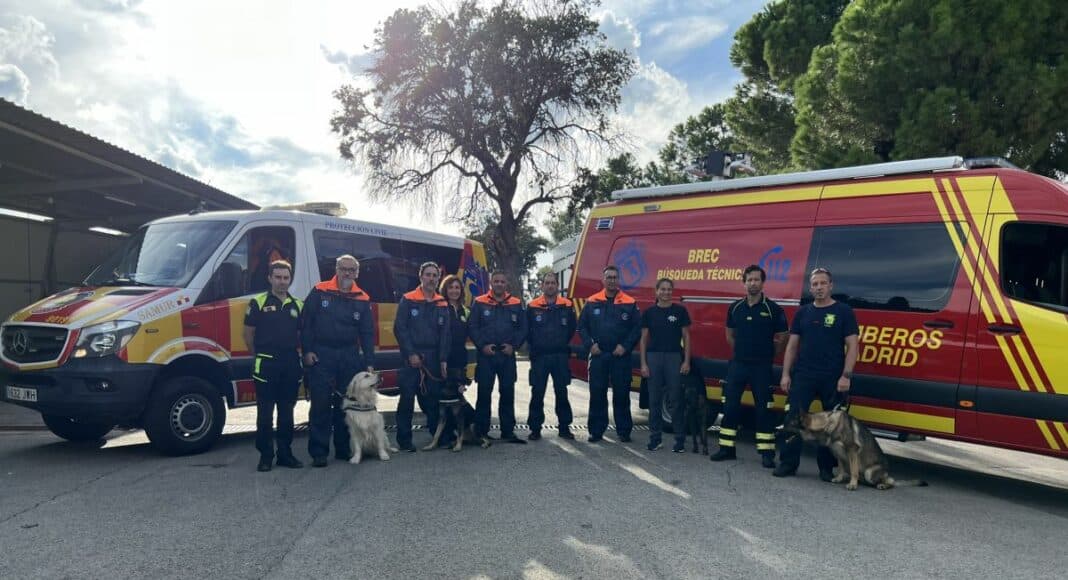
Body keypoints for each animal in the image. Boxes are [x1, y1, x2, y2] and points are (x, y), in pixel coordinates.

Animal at [786, 410, 927, 493]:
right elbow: (841, 468)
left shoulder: (852, 450)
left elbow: (854, 471)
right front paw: (839, 478)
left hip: (870, 473)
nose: (780, 428)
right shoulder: (838, 452)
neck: (827, 424)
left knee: (890, 482)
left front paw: (852, 485)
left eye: (790, 424)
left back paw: (881, 485)